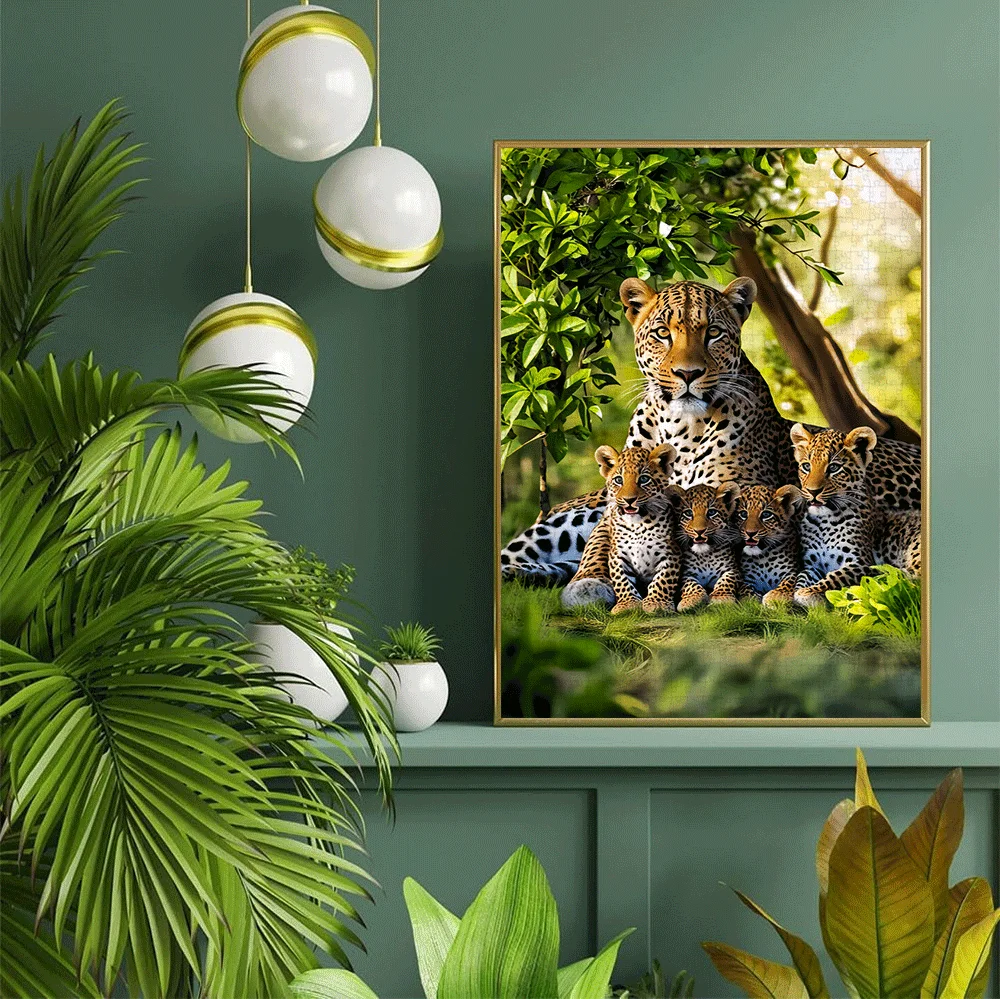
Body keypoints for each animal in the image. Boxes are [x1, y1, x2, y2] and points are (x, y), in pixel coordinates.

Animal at [595, 443, 683, 615]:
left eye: (643, 479)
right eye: (618, 480)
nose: (629, 500)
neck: (637, 525)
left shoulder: (671, 553)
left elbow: (662, 580)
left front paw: (657, 602)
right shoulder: (617, 553)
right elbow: (621, 579)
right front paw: (627, 603)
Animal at [666, 483, 742, 612]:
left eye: (711, 512)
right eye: (688, 513)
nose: (699, 531)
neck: (705, 555)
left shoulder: (732, 569)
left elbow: (726, 581)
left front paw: (721, 597)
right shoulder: (686, 574)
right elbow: (690, 585)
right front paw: (691, 600)